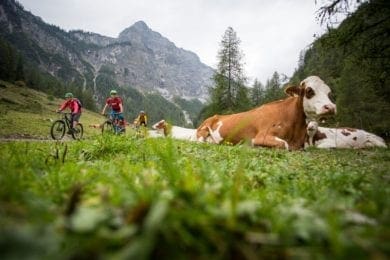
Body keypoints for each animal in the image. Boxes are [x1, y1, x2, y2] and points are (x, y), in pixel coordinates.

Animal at [197, 75, 336, 150]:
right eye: (309, 91)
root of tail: (215, 115)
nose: (330, 107)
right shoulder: (262, 136)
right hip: (202, 132)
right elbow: (284, 144)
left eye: (329, 92)